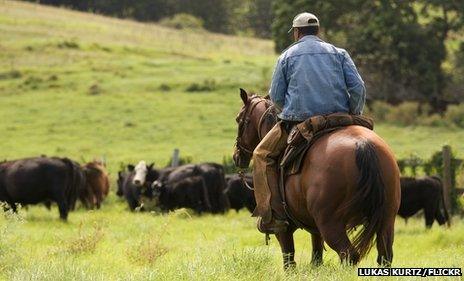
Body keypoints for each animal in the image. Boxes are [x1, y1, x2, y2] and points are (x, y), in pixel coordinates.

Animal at [234, 89, 400, 266]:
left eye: (239, 119)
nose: (237, 156)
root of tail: (363, 145)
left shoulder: (284, 230)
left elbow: (289, 260)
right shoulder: (315, 229)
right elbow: (316, 257)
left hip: (331, 225)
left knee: (349, 255)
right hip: (386, 220)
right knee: (384, 256)